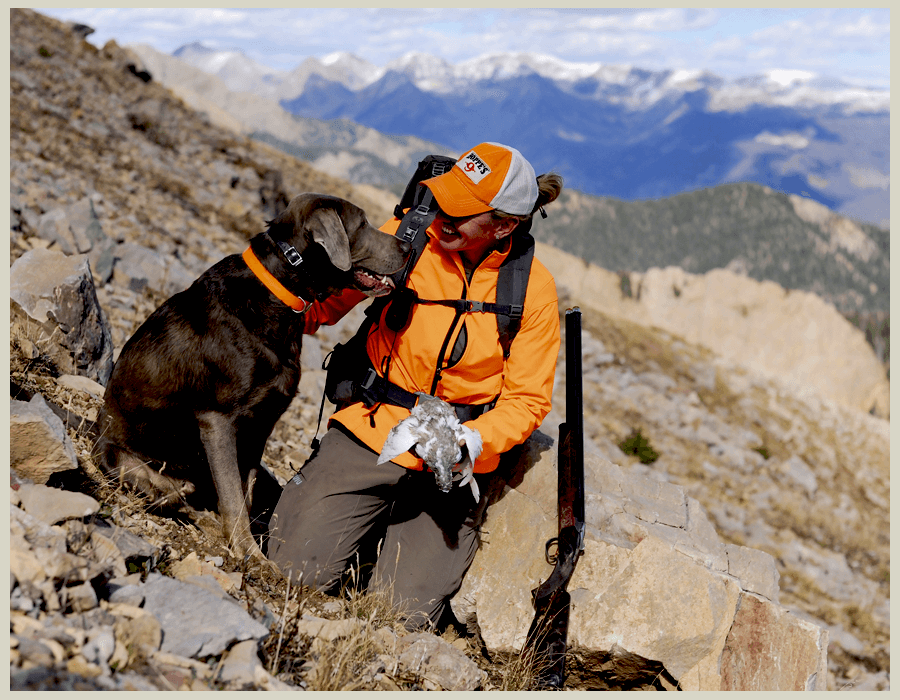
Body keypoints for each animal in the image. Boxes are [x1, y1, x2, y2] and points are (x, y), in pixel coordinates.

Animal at [96, 191, 408, 556]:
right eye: (362, 224)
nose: (407, 246)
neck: (280, 292)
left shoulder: (262, 424)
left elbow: (244, 492)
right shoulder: (218, 420)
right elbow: (232, 497)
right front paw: (250, 554)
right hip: (125, 463)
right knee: (174, 499)